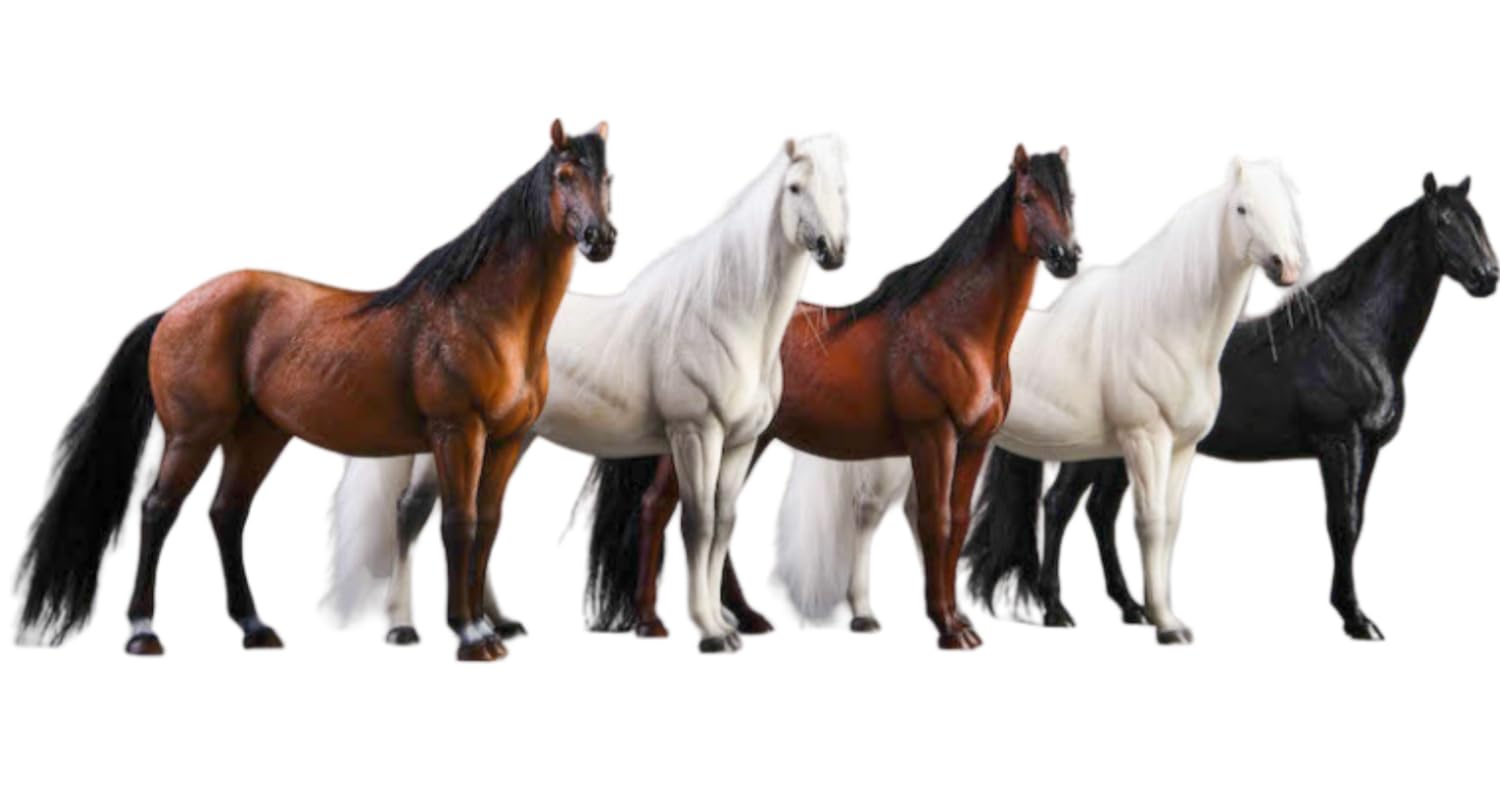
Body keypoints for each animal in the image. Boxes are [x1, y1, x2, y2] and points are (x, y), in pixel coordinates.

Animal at [15, 120, 615, 661]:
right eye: (564, 175)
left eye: (608, 177)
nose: (601, 239)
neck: (483, 314)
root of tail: (174, 311)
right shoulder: (457, 434)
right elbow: (458, 524)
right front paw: (470, 636)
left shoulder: (507, 441)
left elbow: (487, 527)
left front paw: (487, 629)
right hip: (193, 436)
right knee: (159, 509)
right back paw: (143, 632)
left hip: (257, 437)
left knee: (227, 513)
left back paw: (255, 627)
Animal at [327, 136, 851, 653]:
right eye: (795, 188)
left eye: (842, 188)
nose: (834, 251)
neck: (728, 317)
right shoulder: (695, 434)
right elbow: (697, 524)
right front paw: (711, 631)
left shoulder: (740, 443)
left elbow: (723, 523)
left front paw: (723, 623)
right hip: (450, 440)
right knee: (411, 513)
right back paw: (406, 627)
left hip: (506, 440)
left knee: (479, 520)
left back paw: (498, 623)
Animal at [564, 144, 1081, 650]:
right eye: (1028, 199)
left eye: (1069, 198)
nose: (1067, 256)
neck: (954, 331)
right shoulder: (933, 438)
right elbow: (936, 523)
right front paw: (947, 628)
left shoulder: (973, 444)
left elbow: (957, 522)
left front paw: (959, 620)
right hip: (702, 439)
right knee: (658, 508)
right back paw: (654, 622)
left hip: (744, 441)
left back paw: (744, 618)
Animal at [773, 158, 1306, 645]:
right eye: (1242, 208)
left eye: (1288, 207)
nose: (1288, 266)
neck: (1163, 324)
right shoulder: (1145, 440)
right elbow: (1150, 523)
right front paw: (1166, 625)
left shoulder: (1181, 447)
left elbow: (1170, 524)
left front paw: (1164, 613)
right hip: (901, 454)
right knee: (867, 515)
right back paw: (868, 614)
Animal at [968, 174, 1497, 640]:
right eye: (1444, 220)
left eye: (1479, 219)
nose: (1487, 277)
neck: (1355, 337)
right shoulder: (1340, 444)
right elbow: (1341, 525)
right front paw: (1355, 619)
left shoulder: (1369, 450)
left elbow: (1356, 522)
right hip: (1094, 451)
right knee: (1059, 506)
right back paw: (1057, 610)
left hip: (1116, 455)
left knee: (1101, 511)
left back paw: (1132, 607)